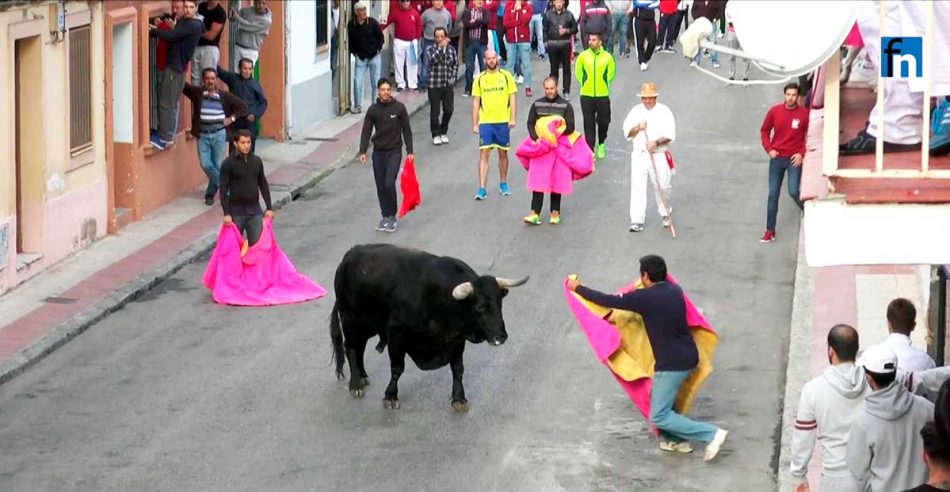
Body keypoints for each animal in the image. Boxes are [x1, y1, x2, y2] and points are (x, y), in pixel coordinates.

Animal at [330, 245, 532, 412]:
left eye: (500, 303)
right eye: (480, 306)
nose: (501, 336)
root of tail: (350, 254)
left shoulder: (455, 340)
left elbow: (458, 369)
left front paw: (459, 398)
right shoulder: (396, 335)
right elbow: (397, 368)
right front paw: (390, 396)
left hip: (366, 325)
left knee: (360, 348)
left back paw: (363, 376)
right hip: (350, 320)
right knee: (351, 348)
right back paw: (356, 385)